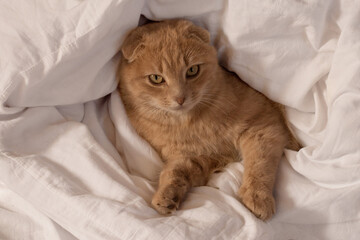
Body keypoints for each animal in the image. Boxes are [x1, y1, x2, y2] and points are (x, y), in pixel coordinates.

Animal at [118, 19, 300, 220]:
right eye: (156, 78)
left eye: (192, 70)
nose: (180, 99)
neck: (191, 124)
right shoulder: (200, 157)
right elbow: (175, 171)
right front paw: (166, 195)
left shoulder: (264, 125)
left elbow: (259, 164)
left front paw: (258, 197)